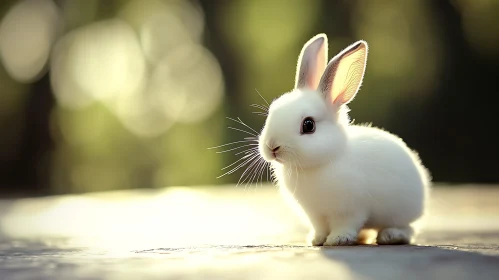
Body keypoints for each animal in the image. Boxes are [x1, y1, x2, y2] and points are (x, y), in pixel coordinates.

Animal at [258, 34, 430, 246]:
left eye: (308, 125)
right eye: (272, 111)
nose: (272, 147)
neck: (321, 163)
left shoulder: (350, 209)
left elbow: (345, 224)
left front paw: (338, 239)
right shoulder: (315, 215)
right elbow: (319, 228)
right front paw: (316, 240)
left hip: (399, 212)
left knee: (408, 229)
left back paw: (390, 236)